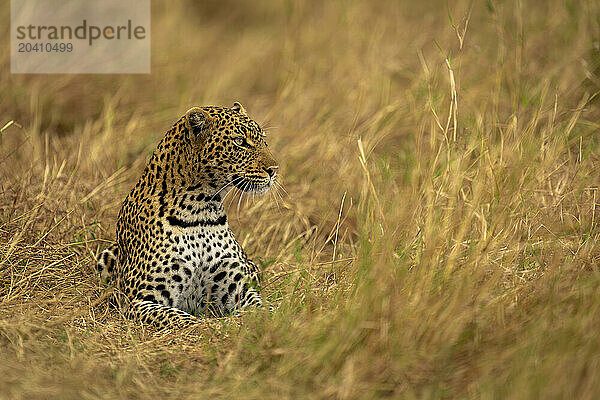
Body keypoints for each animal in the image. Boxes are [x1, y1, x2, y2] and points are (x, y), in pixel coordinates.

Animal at [96, 102, 278, 328]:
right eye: (240, 141)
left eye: (263, 139)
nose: (274, 169)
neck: (200, 209)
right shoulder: (138, 299)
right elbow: (183, 320)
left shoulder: (240, 290)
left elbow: (264, 309)